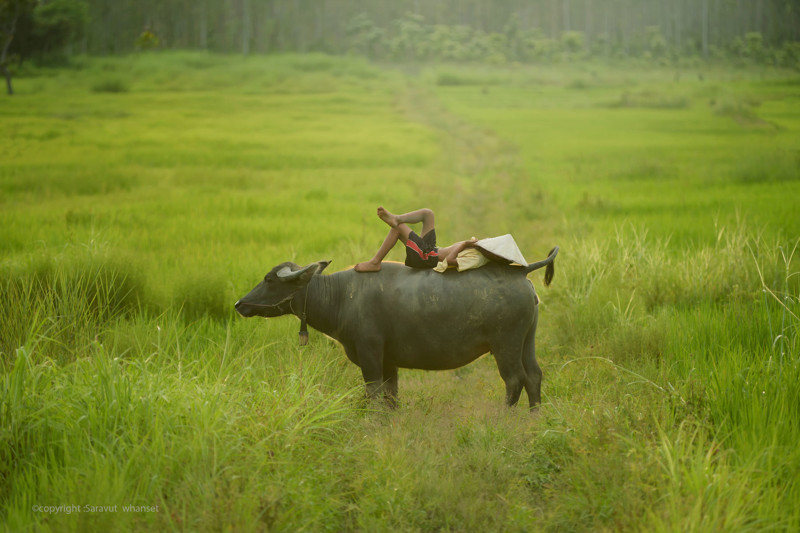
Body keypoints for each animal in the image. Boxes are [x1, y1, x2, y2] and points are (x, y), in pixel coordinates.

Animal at [234, 246, 560, 408]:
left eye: (269, 279)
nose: (240, 304)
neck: (341, 296)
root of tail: (522, 273)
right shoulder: (389, 362)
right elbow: (391, 398)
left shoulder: (370, 356)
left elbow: (374, 396)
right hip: (526, 341)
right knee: (534, 377)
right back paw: (534, 416)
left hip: (505, 344)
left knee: (515, 380)